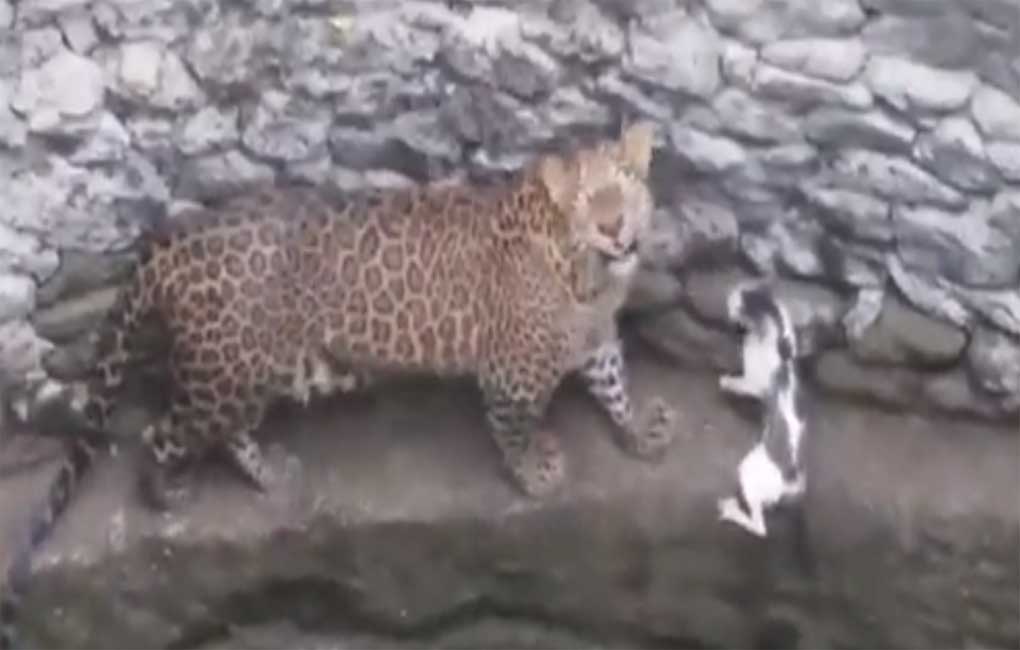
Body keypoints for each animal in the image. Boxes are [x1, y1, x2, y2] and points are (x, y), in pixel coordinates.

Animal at [0, 121, 674, 649]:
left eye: (626, 185)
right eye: (586, 198)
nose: (615, 227)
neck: (587, 273)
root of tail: (168, 240)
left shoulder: (595, 341)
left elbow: (615, 386)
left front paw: (643, 432)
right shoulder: (513, 372)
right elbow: (516, 428)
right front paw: (536, 474)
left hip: (256, 371)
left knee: (230, 429)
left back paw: (271, 471)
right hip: (223, 373)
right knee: (162, 430)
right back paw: (168, 493)